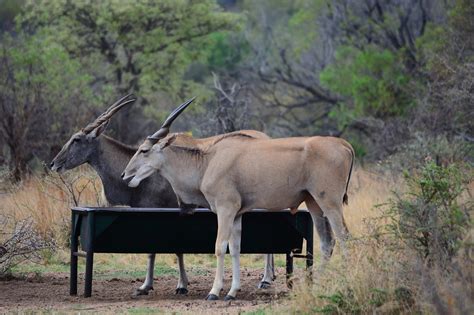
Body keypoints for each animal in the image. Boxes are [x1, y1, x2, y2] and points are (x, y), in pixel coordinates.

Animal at [49, 95, 274, 296]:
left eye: (76, 139)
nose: (53, 163)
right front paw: (154, 285)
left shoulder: (168, 210)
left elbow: (164, 249)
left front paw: (174, 285)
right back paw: (269, 277)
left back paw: (265, 279)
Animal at [122, 99, 352, 302]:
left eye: (144, 150)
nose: (125, 175)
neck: (207, 161)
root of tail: (344, 144)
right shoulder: (237, 214)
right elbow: (235, 248)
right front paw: (232, 292)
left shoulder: (226, 209)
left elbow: (219, 246)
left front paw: (214, 292)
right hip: (314, 204)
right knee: (327, 242)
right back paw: (317, 285)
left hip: (330, 203)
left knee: (343, 237)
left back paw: (346, 284)